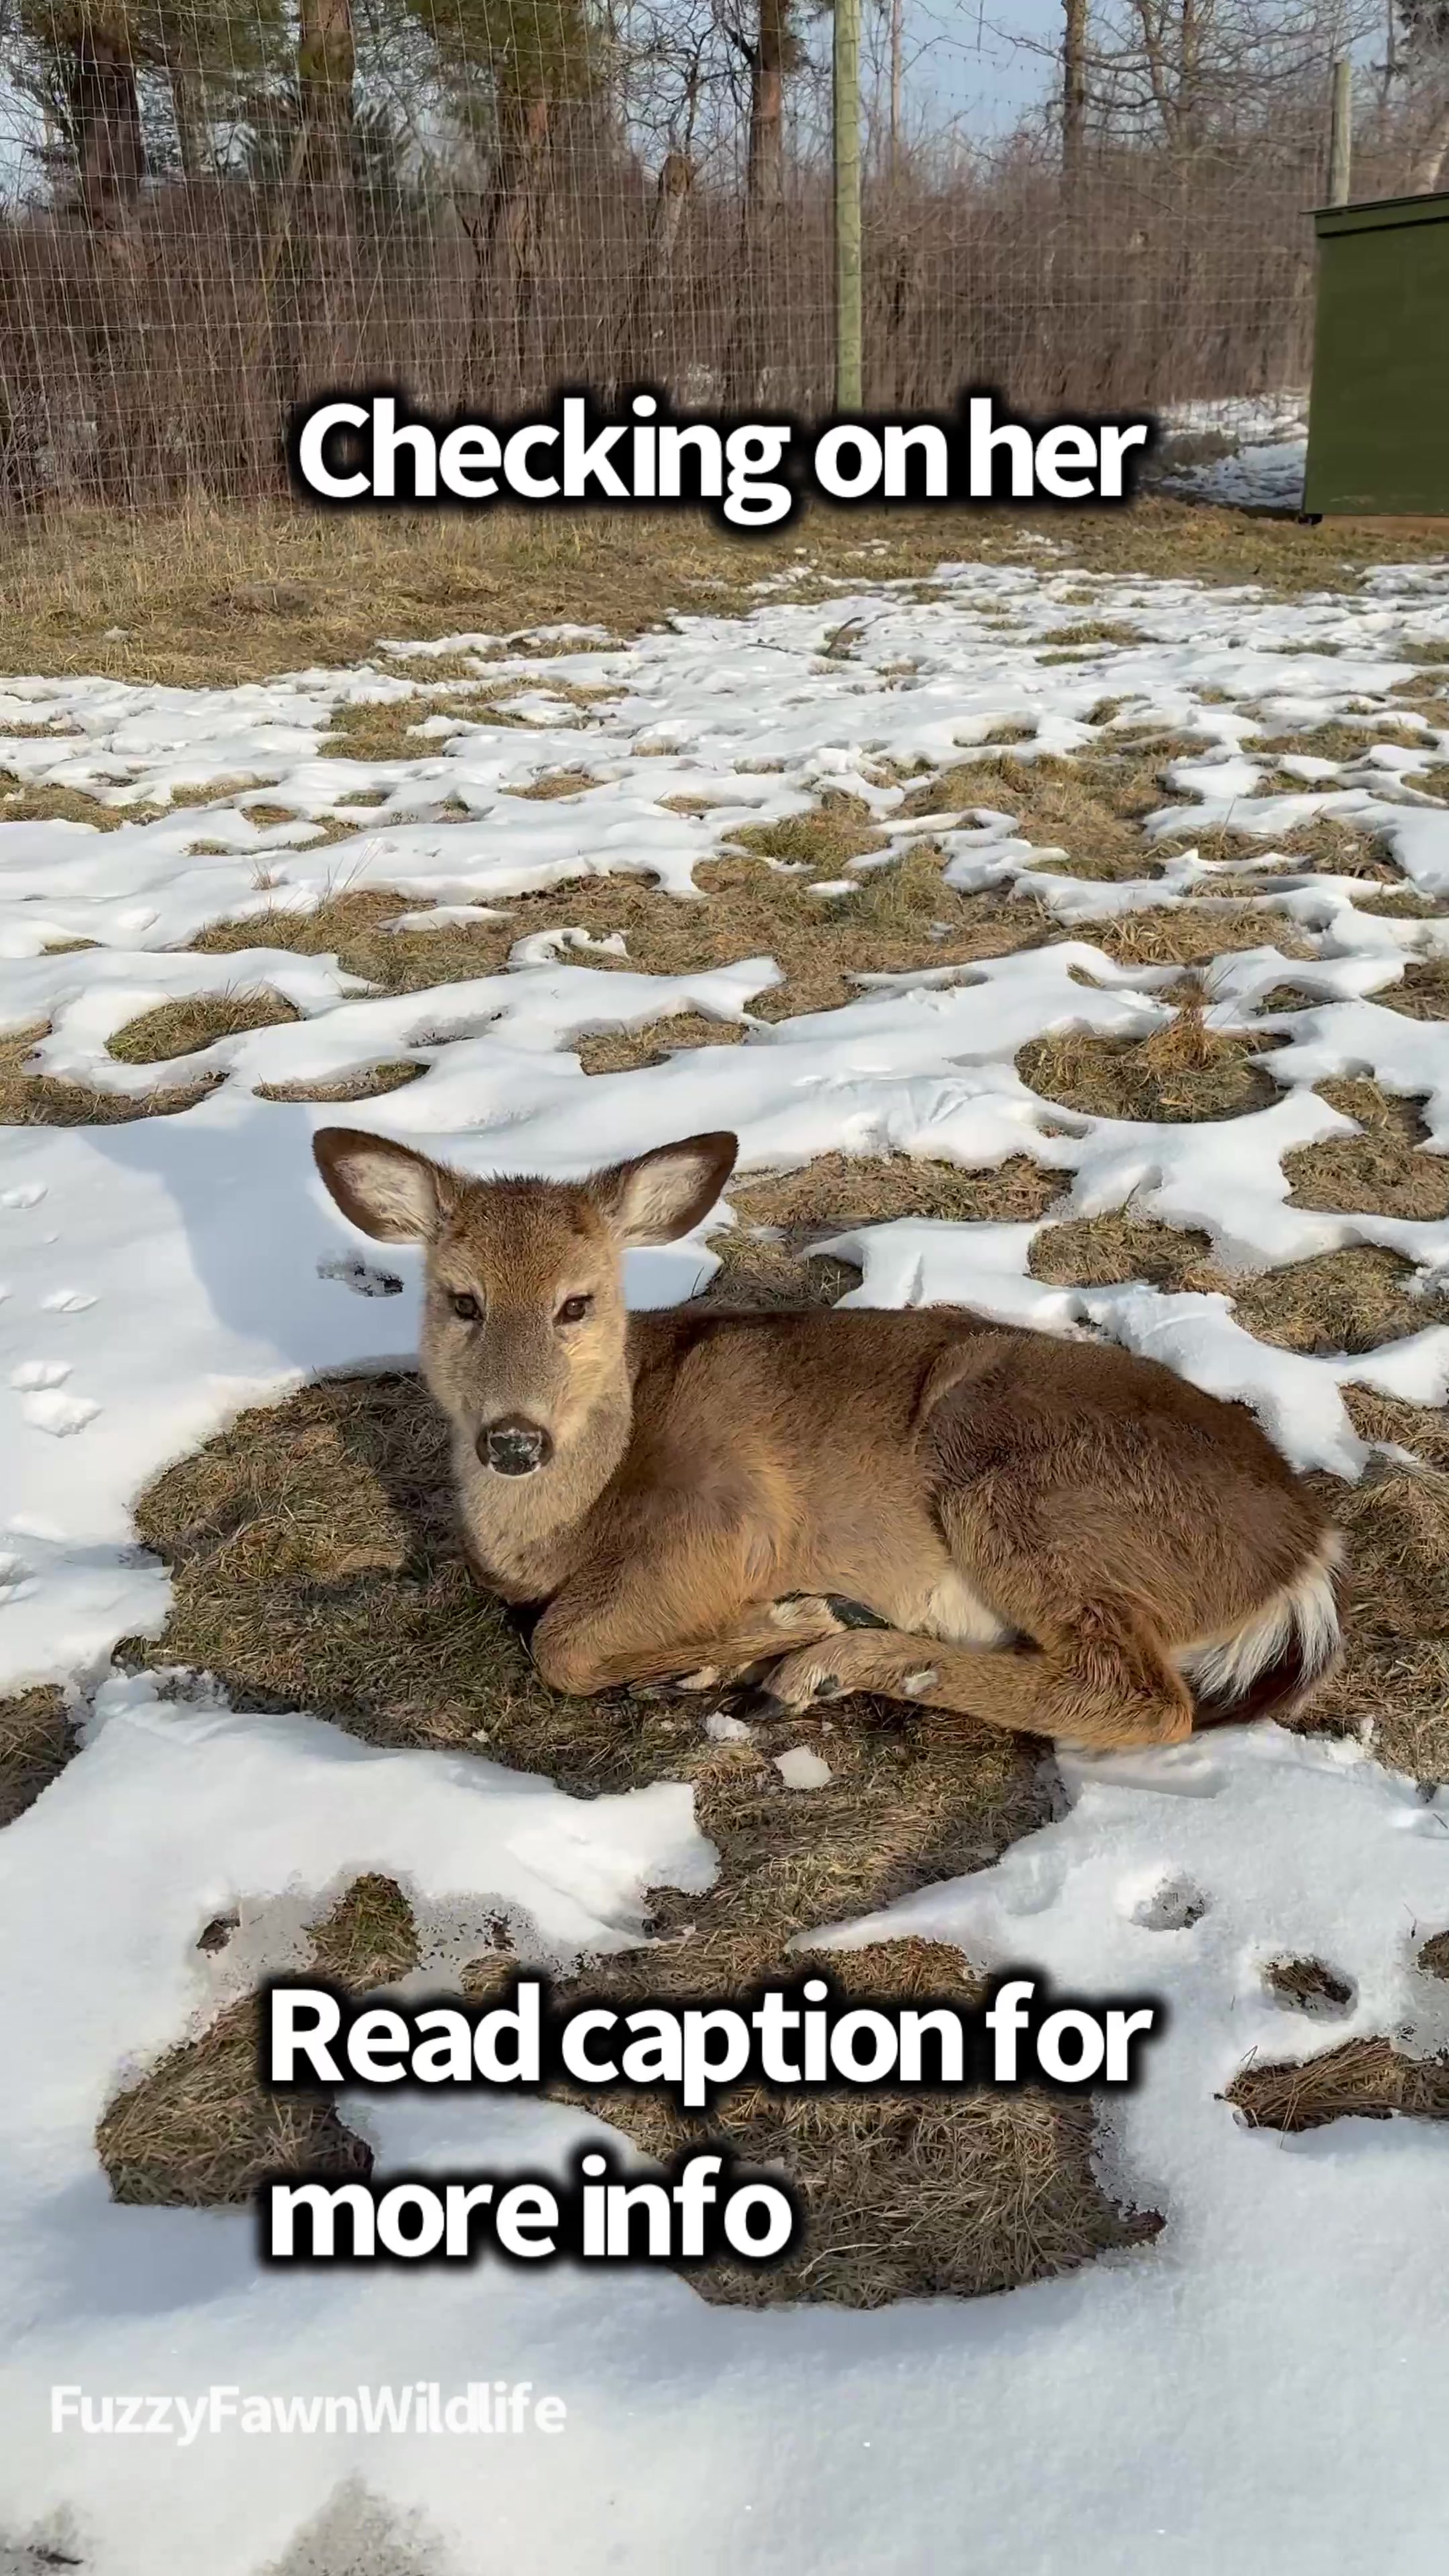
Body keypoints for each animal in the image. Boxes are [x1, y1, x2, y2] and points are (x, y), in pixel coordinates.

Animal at [312, 1124, 1346, 1752]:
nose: (514, 1439)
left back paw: (819, 1662)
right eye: (461, 1300)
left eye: (579, 1302)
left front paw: (769, 1629)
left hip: (1025, 1490)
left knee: (1143, 1697)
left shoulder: (731, 1515)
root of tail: (1303, 1551)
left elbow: (560, 1646)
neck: (567, 1527)